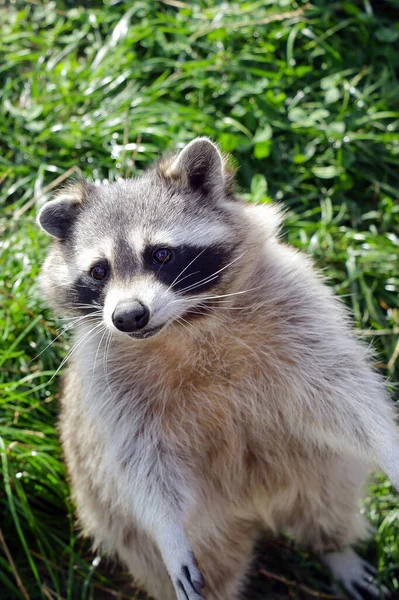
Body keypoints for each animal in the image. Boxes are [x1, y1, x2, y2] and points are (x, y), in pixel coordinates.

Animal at [36, 138, 398, 596]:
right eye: (99, 270)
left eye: (161, 254)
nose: (128, 316)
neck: (183, 323)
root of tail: (255, 511)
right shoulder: (109, 382)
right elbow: (141, 465)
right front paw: (167, 529)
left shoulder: (295, 312)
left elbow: (345, 393)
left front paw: (387, 443)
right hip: (150, 529)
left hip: (317, 470)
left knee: (327, 504)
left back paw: (336, 548)